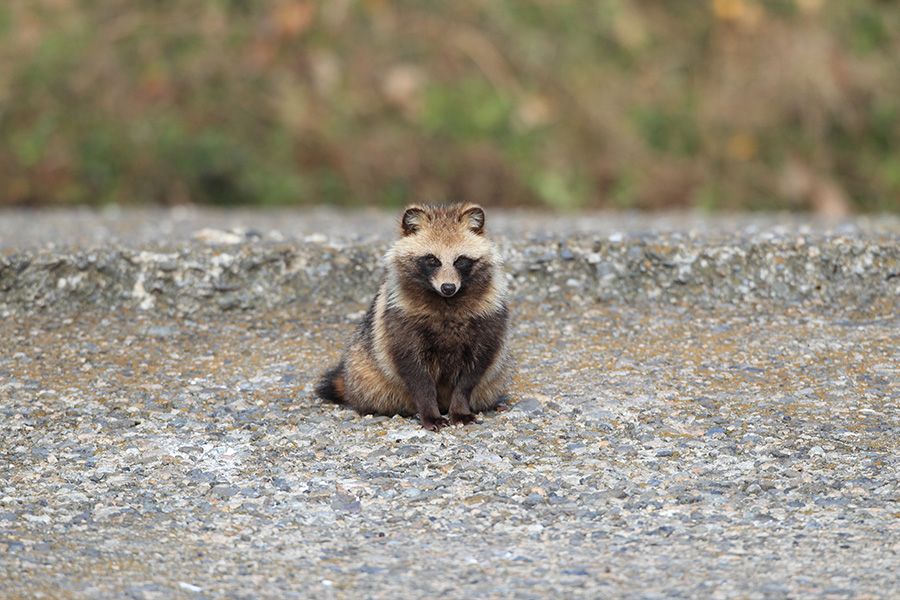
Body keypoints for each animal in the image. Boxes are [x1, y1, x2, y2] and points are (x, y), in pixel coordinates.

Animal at [316, 204, 512, 428]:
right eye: (432, 259)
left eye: (460, 260)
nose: (448, 287)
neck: (446, 302)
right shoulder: (400, 321)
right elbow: (416, 375)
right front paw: (429, 412)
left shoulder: (489, 318)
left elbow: (472, 373)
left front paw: (460, 408)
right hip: (364, 372)